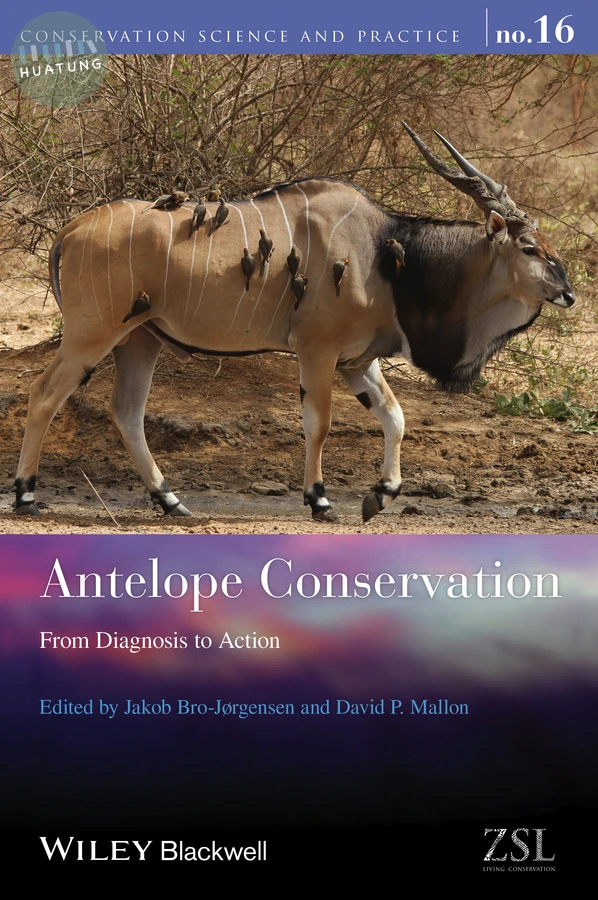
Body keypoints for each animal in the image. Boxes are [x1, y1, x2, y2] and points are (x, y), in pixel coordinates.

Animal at [14, 124, 575, 522]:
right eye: (529, 248)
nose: (568, 293)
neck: (386, 253)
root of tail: (71, 228)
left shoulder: (357, 362)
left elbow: (394, 417)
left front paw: (381, 494)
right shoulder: (317, 351)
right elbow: (319, 424)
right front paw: (320, 500)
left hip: (140, 340)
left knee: (126, 411)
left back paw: (171, 501)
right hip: (92, 335)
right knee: (44, 395)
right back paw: (25, 496)